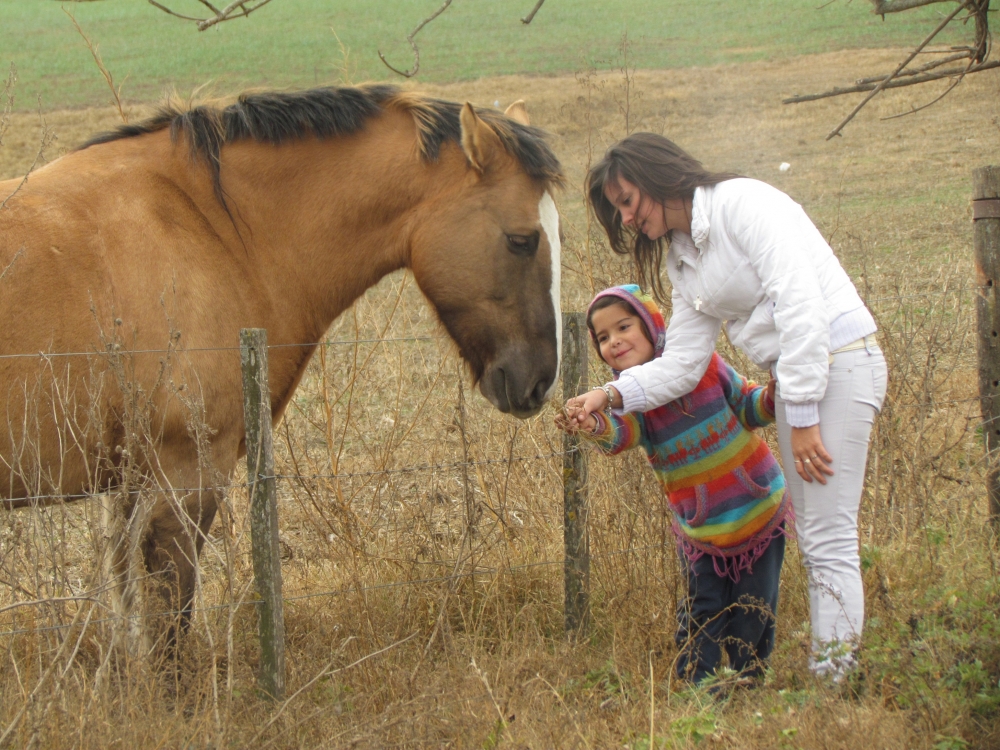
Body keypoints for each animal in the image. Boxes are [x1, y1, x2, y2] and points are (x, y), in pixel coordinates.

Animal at [0, 85, 564, 656]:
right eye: (521, 240)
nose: (541, 380)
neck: (206, 225)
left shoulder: (126, 487)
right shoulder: (181, 479)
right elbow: (167, 629)